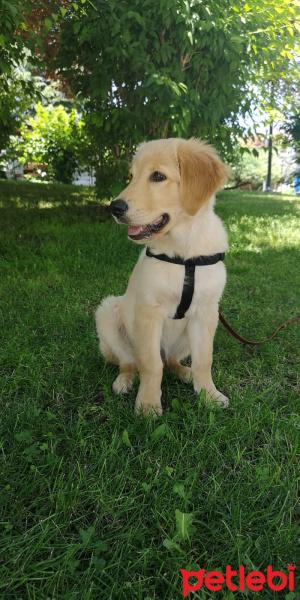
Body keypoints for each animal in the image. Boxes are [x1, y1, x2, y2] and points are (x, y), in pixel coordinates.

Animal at [96, 138, 230, 414]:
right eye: (131, 176)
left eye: (158, 176)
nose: (114, 208)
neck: (184, 252)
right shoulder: (149, 312)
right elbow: (150, 365)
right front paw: (148, 404)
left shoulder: (207, 312)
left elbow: (204, 360)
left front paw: (209, 394)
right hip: (107, 314)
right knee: (131, 361)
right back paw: (124, 381)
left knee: (170, 361)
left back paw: (184, 372)